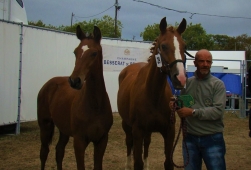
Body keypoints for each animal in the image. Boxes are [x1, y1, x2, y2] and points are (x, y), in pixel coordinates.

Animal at [37, 25, 113, 170]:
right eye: (75, 52)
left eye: (94, 53)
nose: (74, 81)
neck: (95, 106)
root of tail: (47, 84)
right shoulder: (79, 141)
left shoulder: (102, 140)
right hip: (45, 125)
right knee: (44, 152)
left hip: (63, 130)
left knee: (59, 150)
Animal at [117, 17, 186, 170]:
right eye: (164, 46)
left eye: (184, 46)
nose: (180, 78)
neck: (153, 94)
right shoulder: (137, 131)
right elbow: (137, 162)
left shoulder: (169, 131)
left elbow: (168, 162)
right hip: (126, 125)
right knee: (128, 142)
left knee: (147, 143)